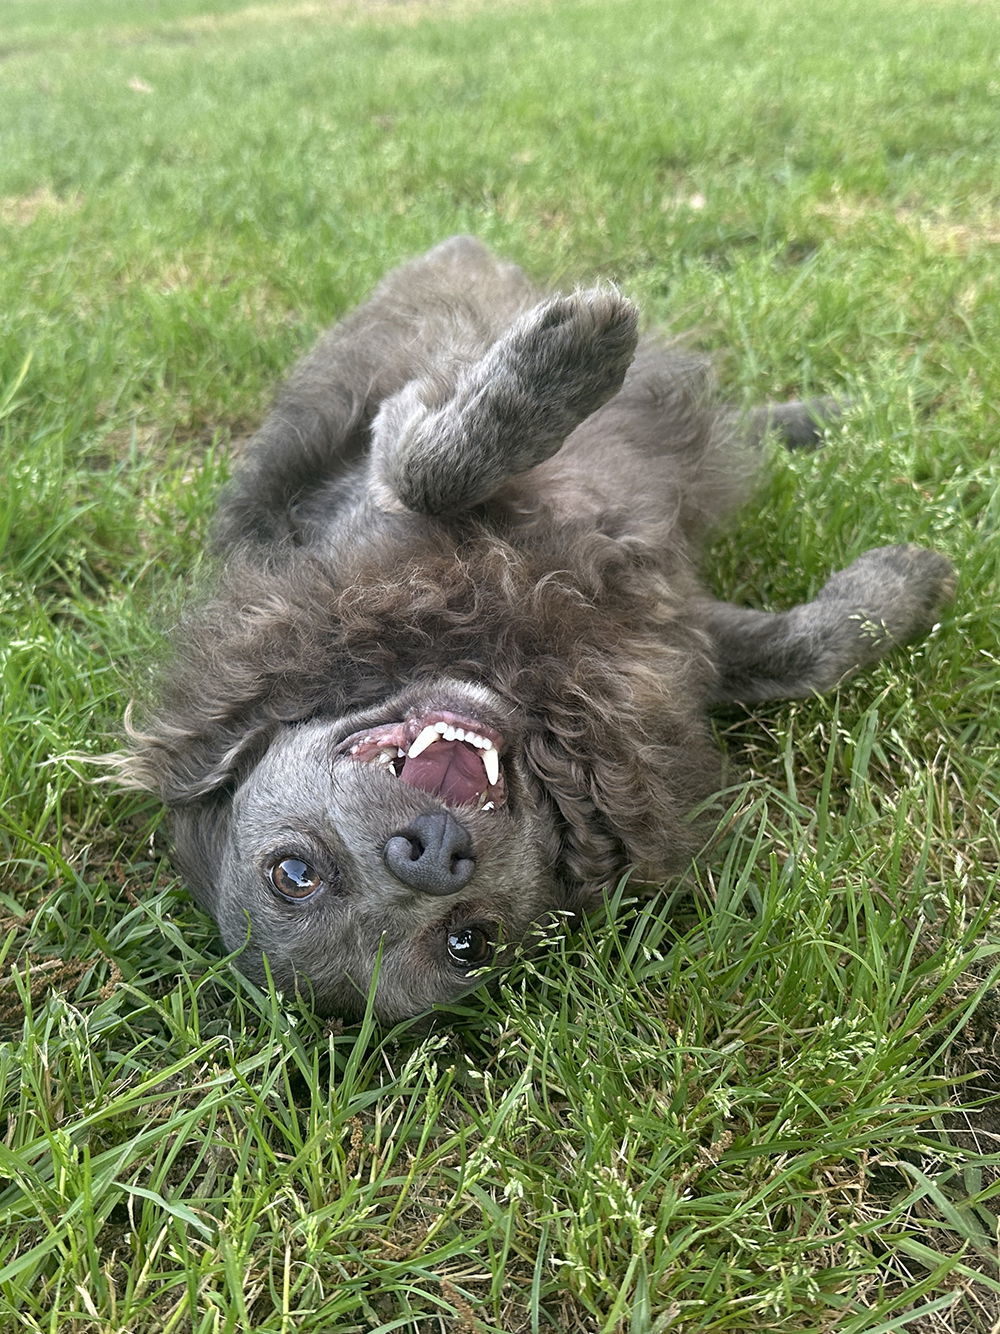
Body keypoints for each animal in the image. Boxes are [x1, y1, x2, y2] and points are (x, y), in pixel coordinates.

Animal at [123, 237, 954, 1019]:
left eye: (292, 873)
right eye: (468, 943)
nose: (429, 856)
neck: (512, 656)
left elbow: (435, 466)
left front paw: (568, 359)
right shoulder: (670, 647)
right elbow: (805, 653)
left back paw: (834, 410)